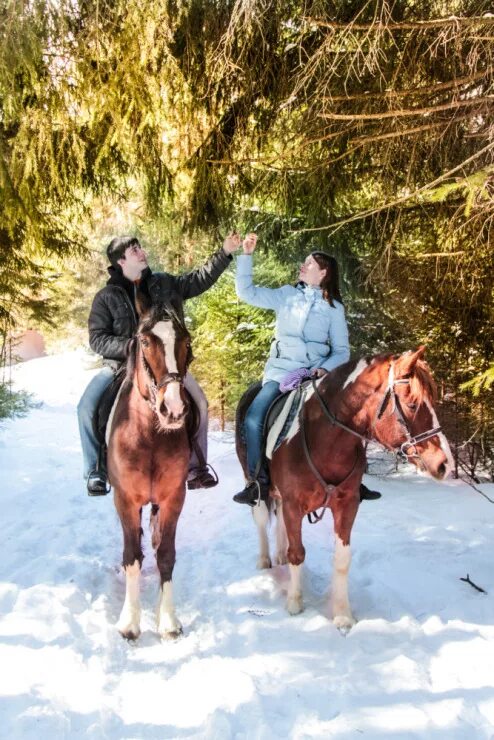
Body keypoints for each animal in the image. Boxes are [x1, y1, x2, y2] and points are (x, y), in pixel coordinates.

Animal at [235, 346, 452, 632]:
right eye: (413, 404)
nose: (445, 464)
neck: (323, 437)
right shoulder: (294, 505)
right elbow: (298, 553)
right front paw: (294, 603)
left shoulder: (347, 505)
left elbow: (341, 559)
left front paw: (342, 615)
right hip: (254, 481)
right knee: (261, 518)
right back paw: (265, 560)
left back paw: (279, 555)